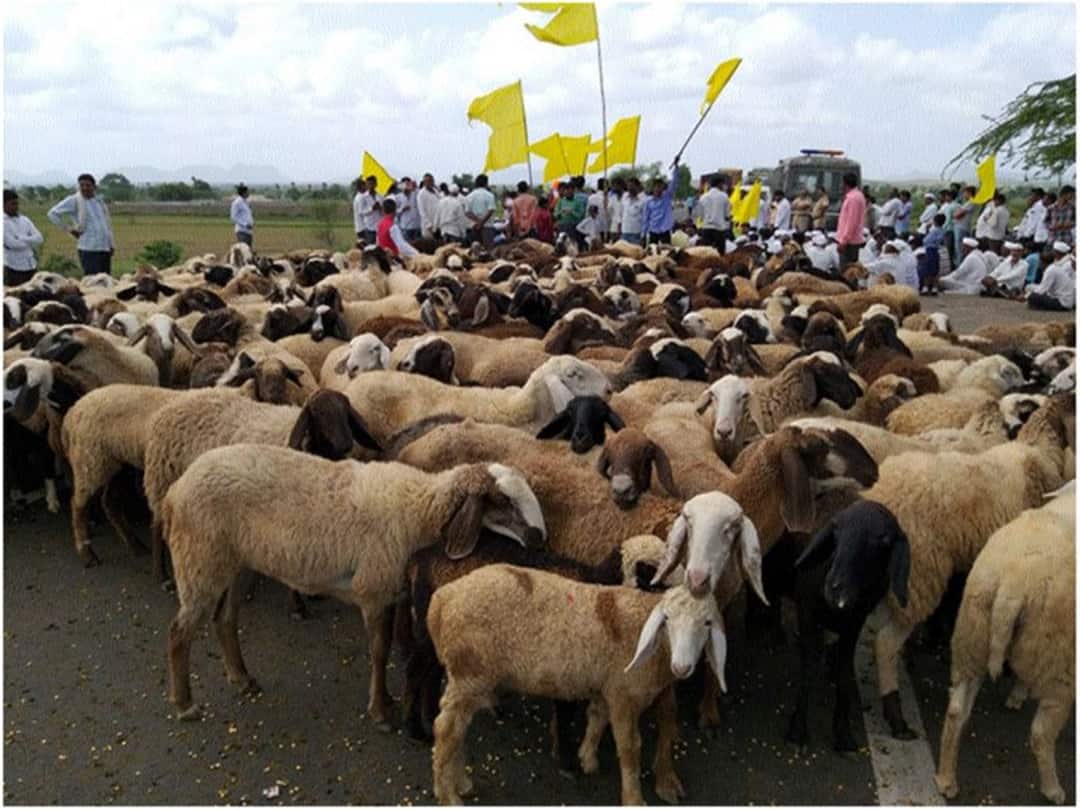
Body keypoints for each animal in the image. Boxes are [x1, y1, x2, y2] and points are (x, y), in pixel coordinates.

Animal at [161, 451, 544, 727]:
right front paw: (380, 710)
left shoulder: (390, 594)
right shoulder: (373, 590)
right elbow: (379, 651)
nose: (540, 538)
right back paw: (184, 704)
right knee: (179, 631)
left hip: (237, 563)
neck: (419, 507)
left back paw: (241, 678)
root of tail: (175, 489)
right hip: (199, 559)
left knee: (225, 618)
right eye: (503, 501)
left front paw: (385, 702)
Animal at [430, 569, 724, 805]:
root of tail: (443, 599)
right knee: (445, 731)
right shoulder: (623, 695)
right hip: (470, 672)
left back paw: (461, 784)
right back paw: (448, 796)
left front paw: (587, 757)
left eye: (707, 623)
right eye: (667, 620)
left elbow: (597, 718)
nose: (682, 667)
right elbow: (630, 748)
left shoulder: (607, 686)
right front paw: (633, 799)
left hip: (469, 678)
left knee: (457, 731)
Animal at [785, 501, 910, 752]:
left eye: (884, 541)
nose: (836, 587)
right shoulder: (806, 611)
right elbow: (808, 666)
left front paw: (843, 732)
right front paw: (798, 730)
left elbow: (845, 670)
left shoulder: (854, 625)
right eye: (836, 534)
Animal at [935, 487, 1075, 805]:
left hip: (973, 640)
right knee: (1041, 733)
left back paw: (946, 779)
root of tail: (1011, 586)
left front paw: (1017, 694)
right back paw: (1053, 789)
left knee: (956, 712)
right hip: (1056, 659)